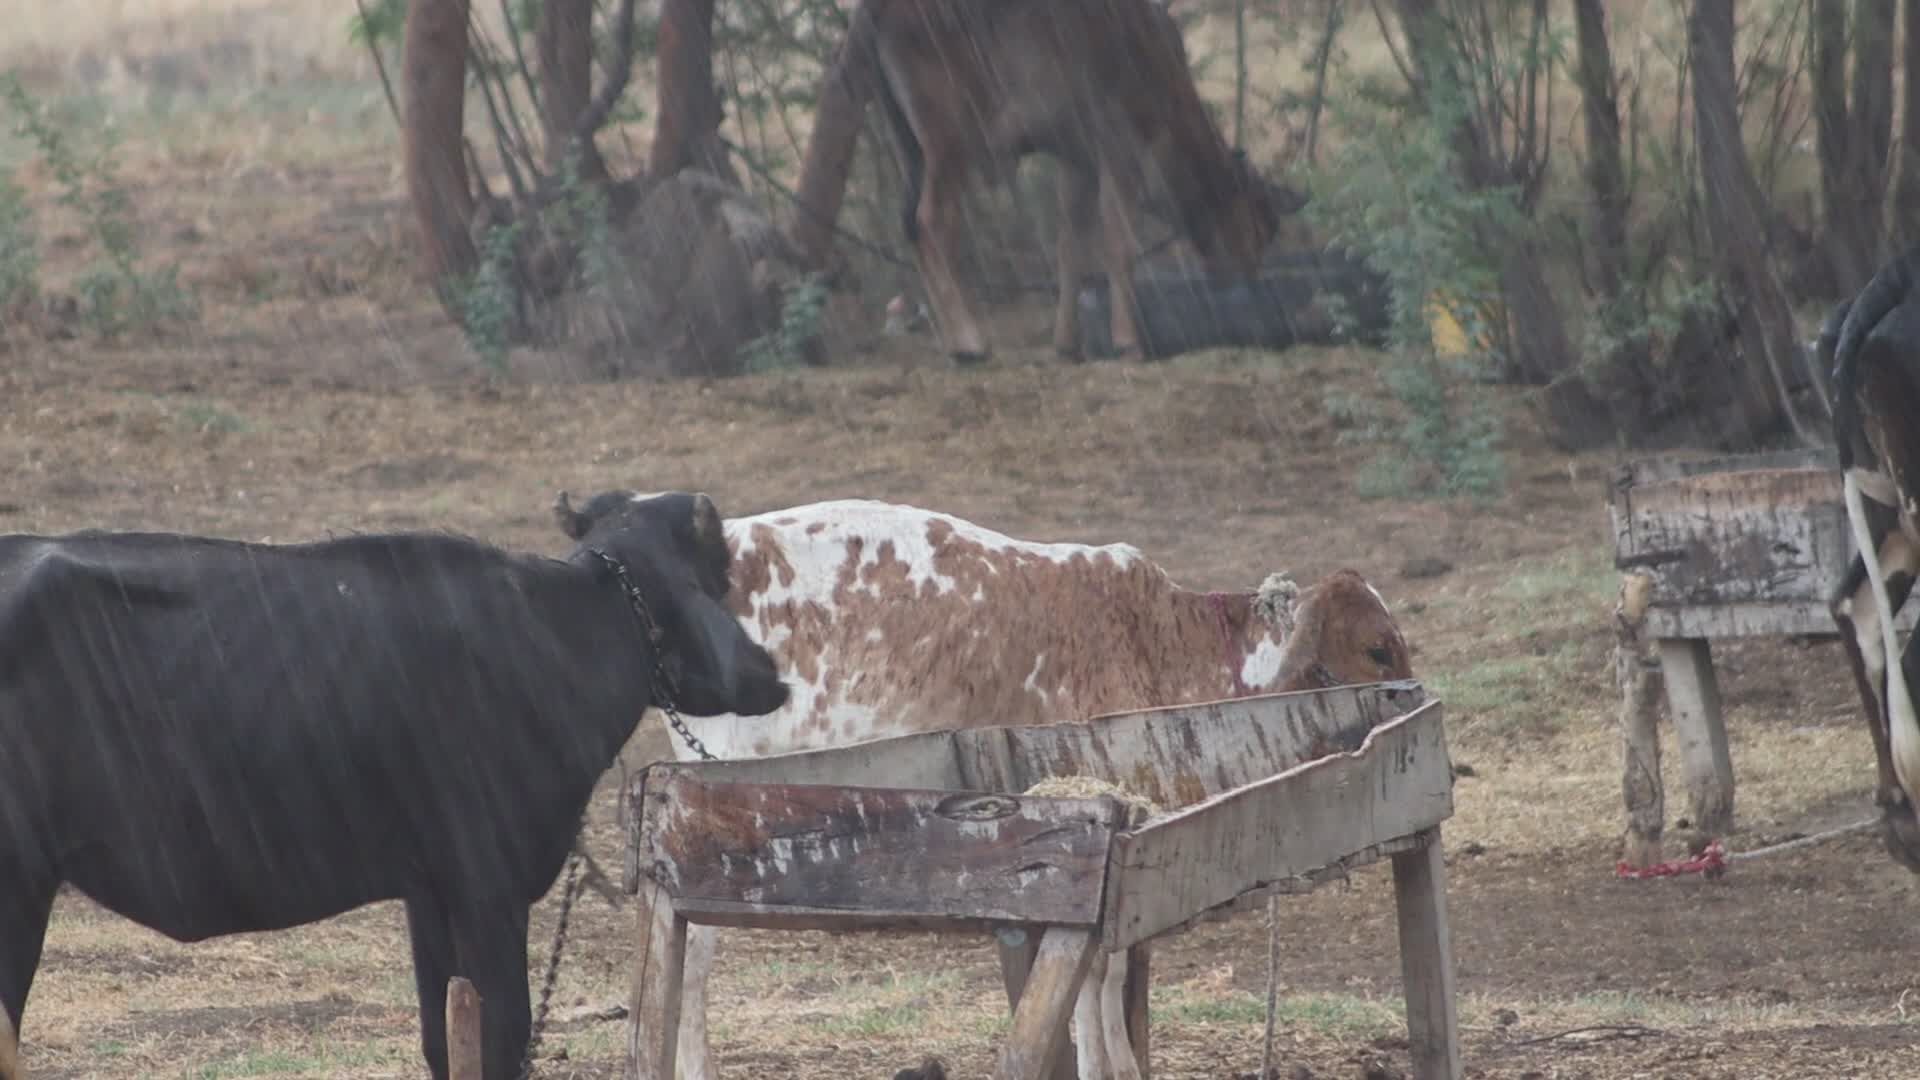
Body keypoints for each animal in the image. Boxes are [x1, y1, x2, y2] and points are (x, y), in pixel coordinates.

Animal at [0, 491, 789, 1080]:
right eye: (717, 577)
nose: (769, 674)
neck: (553, 640)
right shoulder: (486, 886)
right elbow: (503, 1035)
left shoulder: (428, 889)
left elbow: (446, 1036)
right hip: (19, 883)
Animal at [560, 495, 1414, 1080]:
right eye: (1377, 646)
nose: (1417, 700)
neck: (1159, 638)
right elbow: (1100, 975)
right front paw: (1110, 1068)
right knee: (695, 945)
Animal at [822, 0, 1283, 365]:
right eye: (1262, 226)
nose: (1249, 278)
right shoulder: (1118, 142)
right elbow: (1118, 242)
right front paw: (1128, 342)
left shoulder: (1075, 159)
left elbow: (1069, 246)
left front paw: (1068, 344)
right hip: (950, 134)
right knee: (931, 219)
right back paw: (970, 343)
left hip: (906, 138)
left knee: (908, 220)